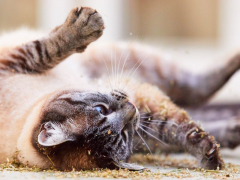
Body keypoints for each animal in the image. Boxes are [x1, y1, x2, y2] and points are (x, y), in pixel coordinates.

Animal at [0, 6, 240, 171]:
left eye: (100, 109)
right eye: (124, 134)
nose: (132, 110)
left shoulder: (13, 61)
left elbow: (45, 49)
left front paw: (81, 28)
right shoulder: (145, 122)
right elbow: (178, 130)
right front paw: (209, 154)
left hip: (145, 64)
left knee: (197, 87)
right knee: (199, 97)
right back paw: (232, 132)